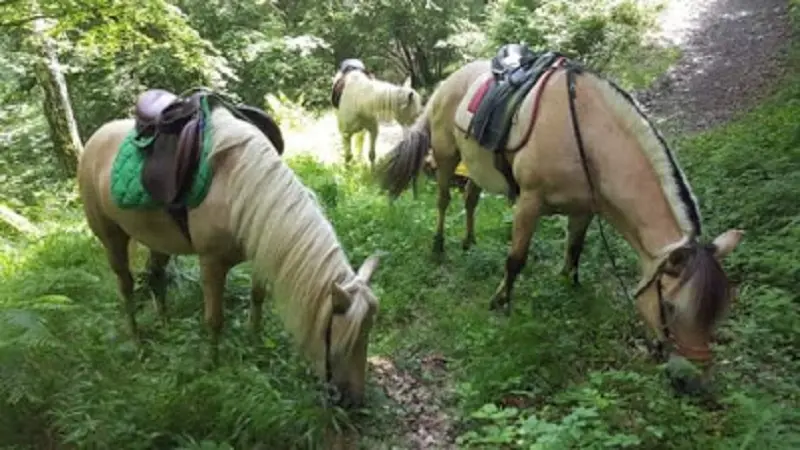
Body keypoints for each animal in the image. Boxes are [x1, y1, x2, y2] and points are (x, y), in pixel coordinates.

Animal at [78, 89, 382, 406]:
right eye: (342, 339)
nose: (354, 401)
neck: (239, 188)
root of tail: (95, 139)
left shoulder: (262, 250)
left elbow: (257, 296)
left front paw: (255, 341)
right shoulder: (211, 263)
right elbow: (214, 319)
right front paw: (213, 367)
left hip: (157, 240)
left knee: (156, 277)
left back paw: (166, 326)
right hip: (111, 237)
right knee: (125, 286)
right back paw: (137, 340)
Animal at [380, 46, 744, 390]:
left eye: (718, 312)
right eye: (669, 307)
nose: (696, 381)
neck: (586, 136)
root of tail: (448, 80)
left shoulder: (584, 209)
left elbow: (574, 251)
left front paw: (569, 287)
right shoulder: (529, 202)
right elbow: (516, 259)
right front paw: (501, 302)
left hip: (475, 163)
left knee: (470, 197)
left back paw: (469, 242)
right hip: (445, 155)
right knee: (443, 201)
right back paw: (439, 245)